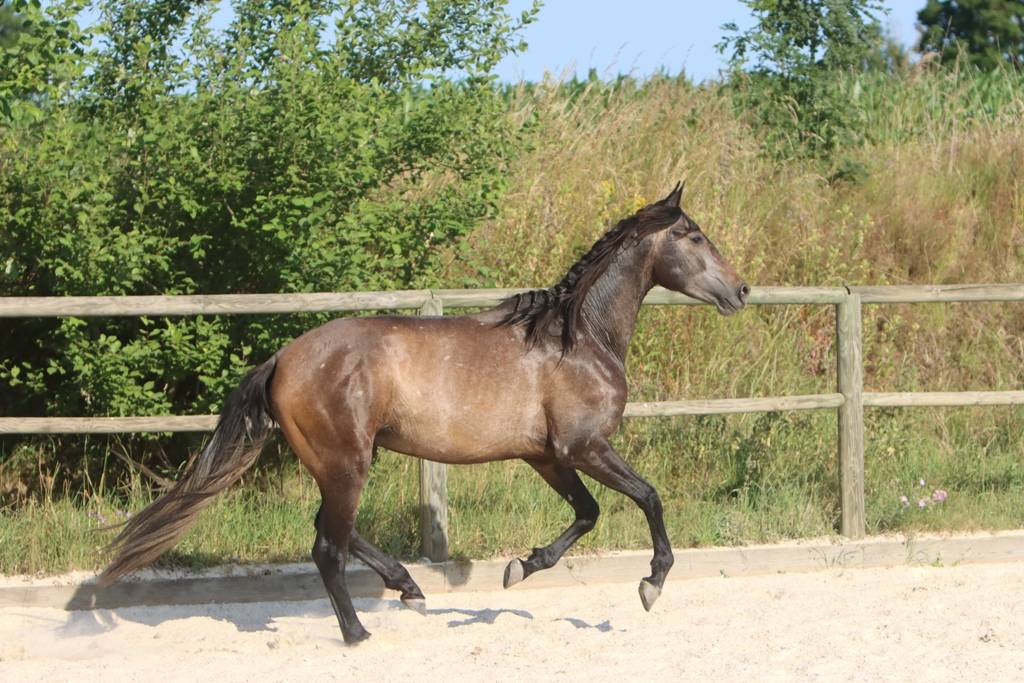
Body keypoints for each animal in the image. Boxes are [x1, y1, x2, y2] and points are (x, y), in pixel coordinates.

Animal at [97, 183, 749, 643]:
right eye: (692, 235)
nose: (740, 291)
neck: (578, 339)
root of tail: (283, 358)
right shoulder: (585, 448)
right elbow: (648, 497)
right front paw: (651, 583)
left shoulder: (547, 457)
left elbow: (587, 514)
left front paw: (520, 566)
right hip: (347, 462)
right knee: (327, 546)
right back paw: (358, 633)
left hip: (341, 461)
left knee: (331, 529)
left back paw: (408, 587)